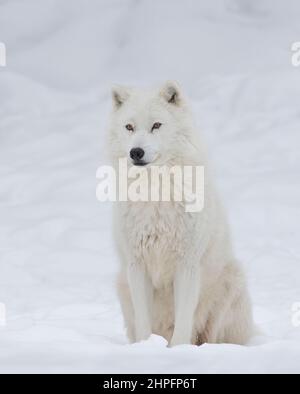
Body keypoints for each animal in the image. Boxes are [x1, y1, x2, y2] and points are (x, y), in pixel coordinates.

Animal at [108, 81, 253, 346]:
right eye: (129, 127)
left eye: (156, 125)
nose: (136, 152)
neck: (155, 196)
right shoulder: (137, 266)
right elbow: (144, 323)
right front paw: (146, 347)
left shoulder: (187, 265)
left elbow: (184, 321)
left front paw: (177, 350)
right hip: (122, 285)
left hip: (232, 280)